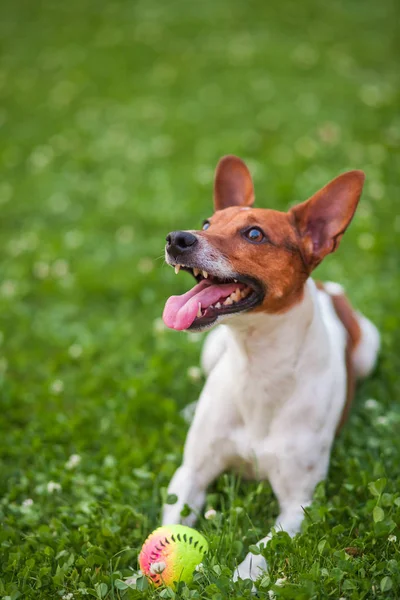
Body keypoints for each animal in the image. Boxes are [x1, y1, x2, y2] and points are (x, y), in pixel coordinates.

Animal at [159, 155, 378, 580]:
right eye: (207, 223)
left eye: (255, 234)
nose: (177, 238)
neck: (256, 365)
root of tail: (329, 288)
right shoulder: (190, 474)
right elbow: (167, 528)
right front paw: (139, 577)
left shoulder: (299, 505)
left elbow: (261, 549)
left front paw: (241, 580)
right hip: (209, 350)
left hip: (369, 350)